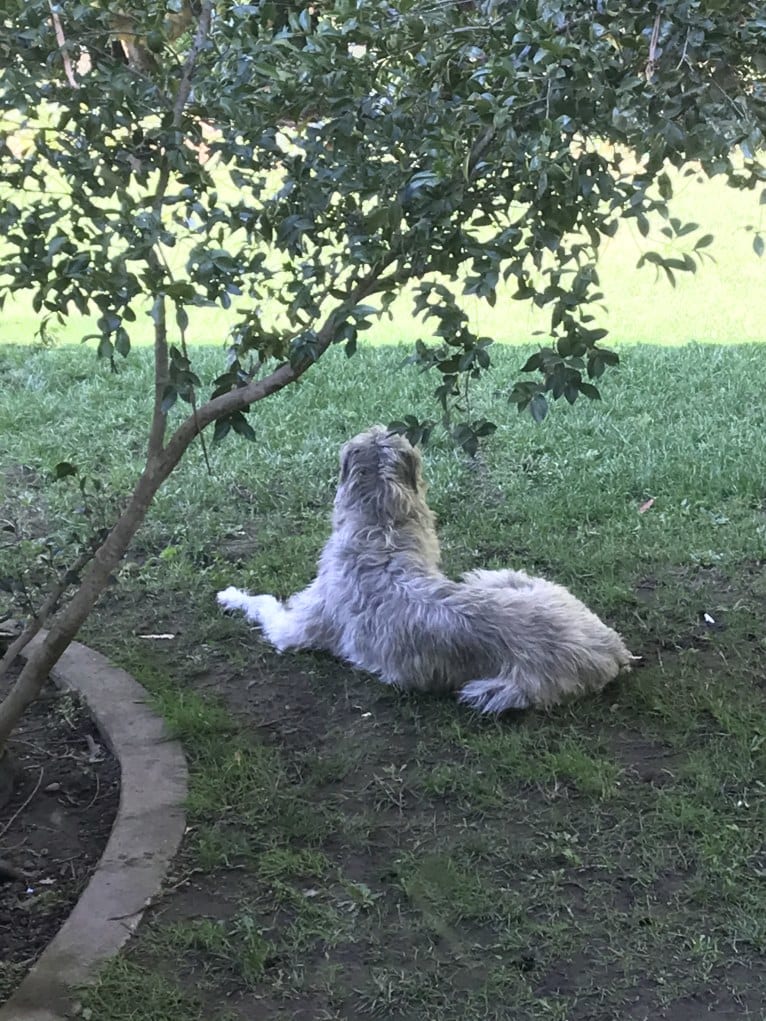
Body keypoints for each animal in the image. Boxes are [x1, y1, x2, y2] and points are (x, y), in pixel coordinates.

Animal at [217, 422, 637, 710]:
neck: (380, 533)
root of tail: (612, 648)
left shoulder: (295, 628)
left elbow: (264, 605)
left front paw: (231, 595)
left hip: (498, 688)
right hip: (525, 584)